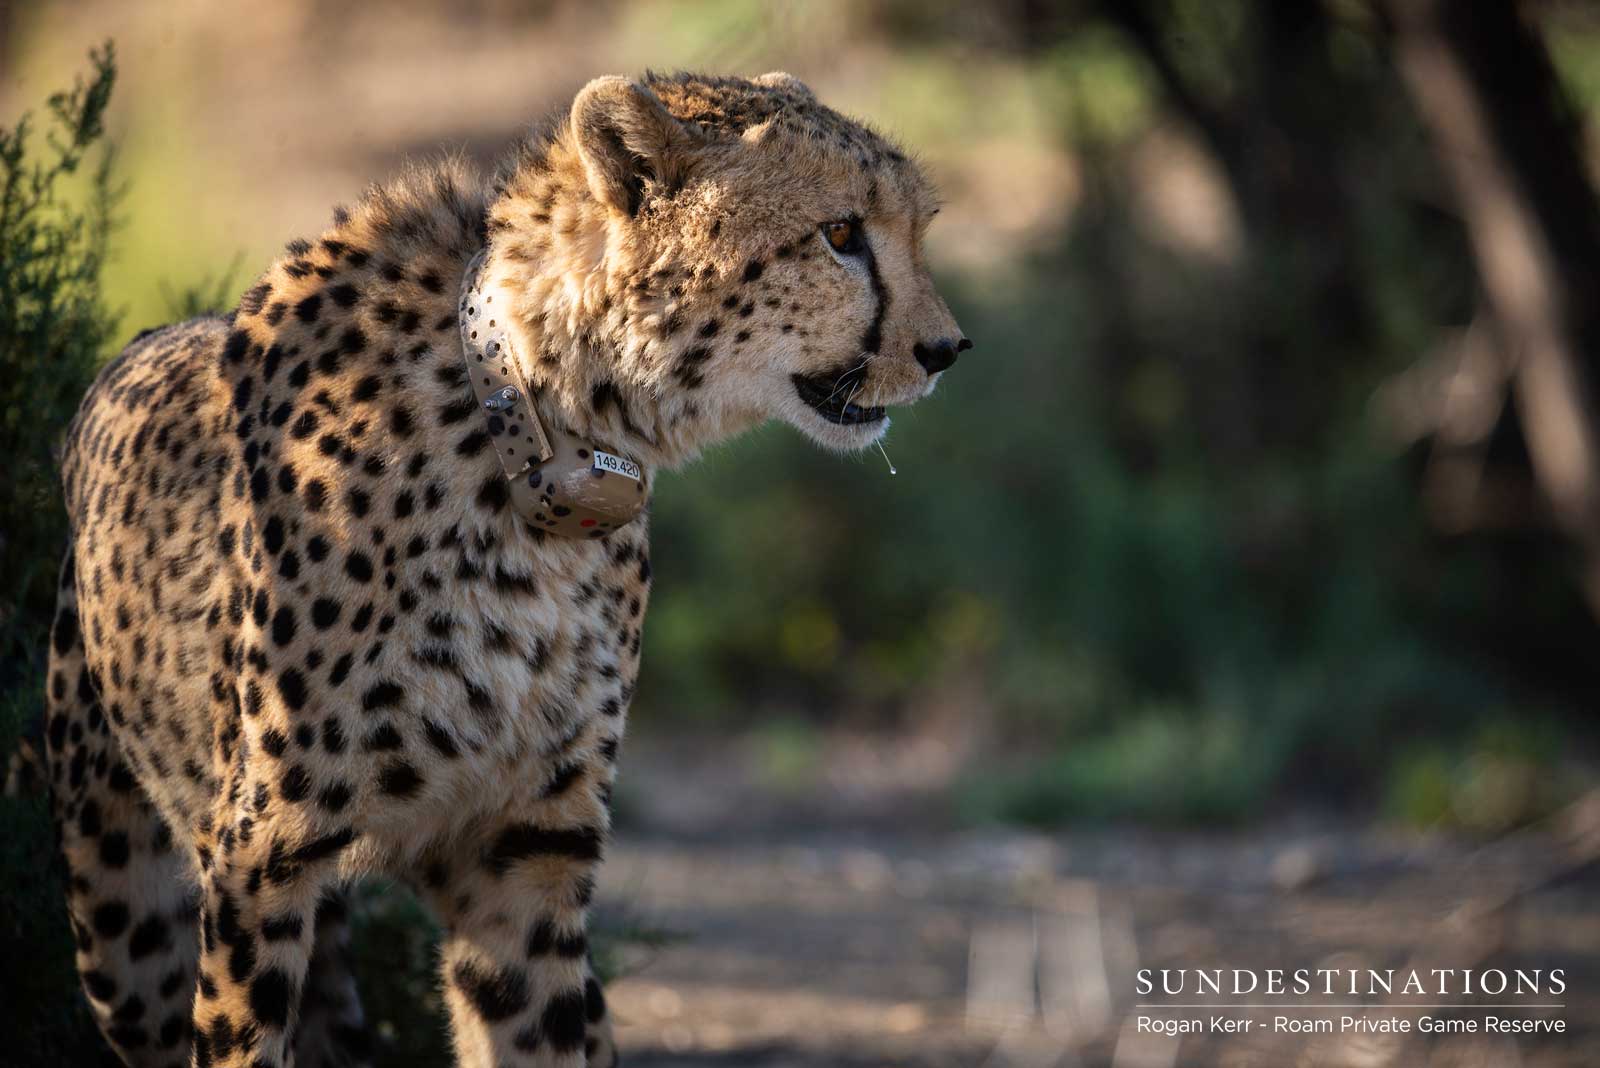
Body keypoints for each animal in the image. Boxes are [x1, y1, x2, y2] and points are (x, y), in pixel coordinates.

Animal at [39, 70, 967, 1068]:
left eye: (917, 225)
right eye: (839, 233)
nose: (947, 351)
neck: (541, 439)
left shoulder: (524, 847)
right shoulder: (263, 854)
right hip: (127, 923)